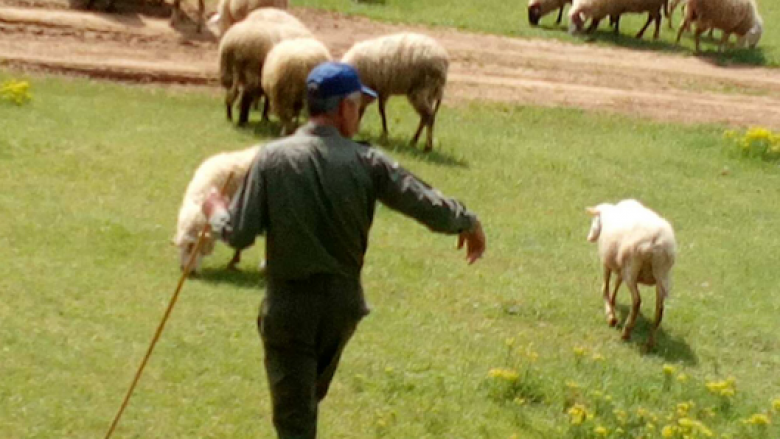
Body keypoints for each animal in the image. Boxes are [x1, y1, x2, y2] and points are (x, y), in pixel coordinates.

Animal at [584, 199, 676, 348]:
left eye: (594, 220)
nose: (589, 238)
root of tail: (657, 242)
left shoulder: (607, 262)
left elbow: (605, 287)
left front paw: (611, 315)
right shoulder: (620, 266)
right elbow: (616, 283)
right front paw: (613, 302)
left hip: (632, 268)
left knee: (637, 301)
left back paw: (626, 333)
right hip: (662, 275)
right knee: (660, 309)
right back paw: (650, 343)